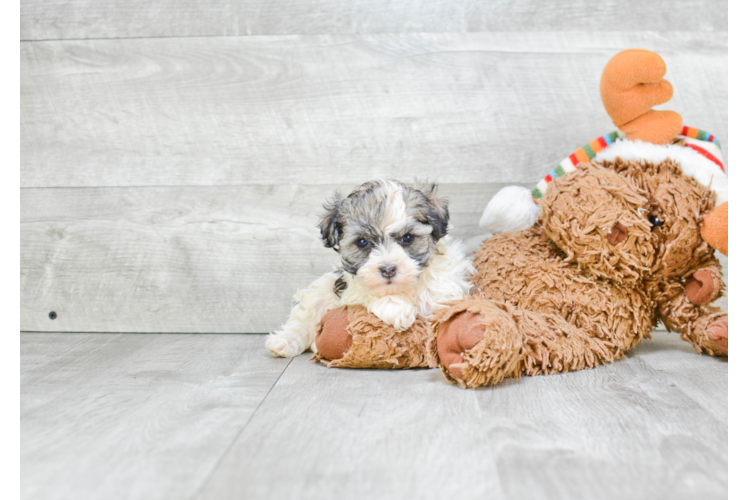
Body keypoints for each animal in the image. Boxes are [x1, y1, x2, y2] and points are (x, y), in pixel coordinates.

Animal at [266, 180, 470, 360]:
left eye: (407, 238)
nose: (388, 269)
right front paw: (396, 308)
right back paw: (283, 342)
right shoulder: (348, 289)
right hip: (320, 291)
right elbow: (365, 293)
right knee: (304, 317)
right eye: (362, 242)